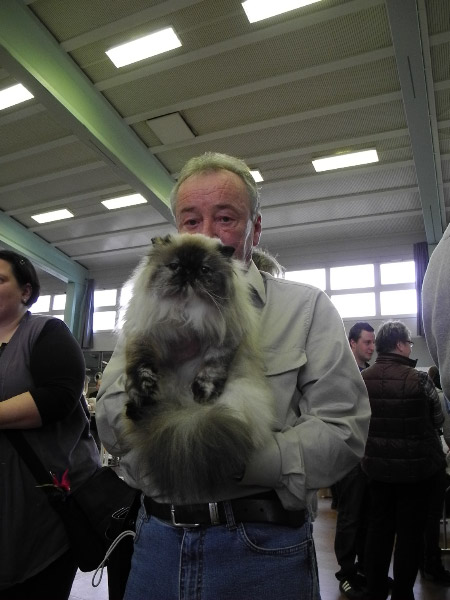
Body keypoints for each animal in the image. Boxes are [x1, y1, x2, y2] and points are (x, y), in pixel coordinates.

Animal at [122, 233, 275, 502]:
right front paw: (144, 388)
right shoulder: (146, 339)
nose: (189, 273)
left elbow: (210, 371)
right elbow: (141, 369)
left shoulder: (222, 343)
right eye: (175, 266)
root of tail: (184, 414)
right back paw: (139, 407)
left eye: (204, 270)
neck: (185, 311)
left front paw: (203, 394)